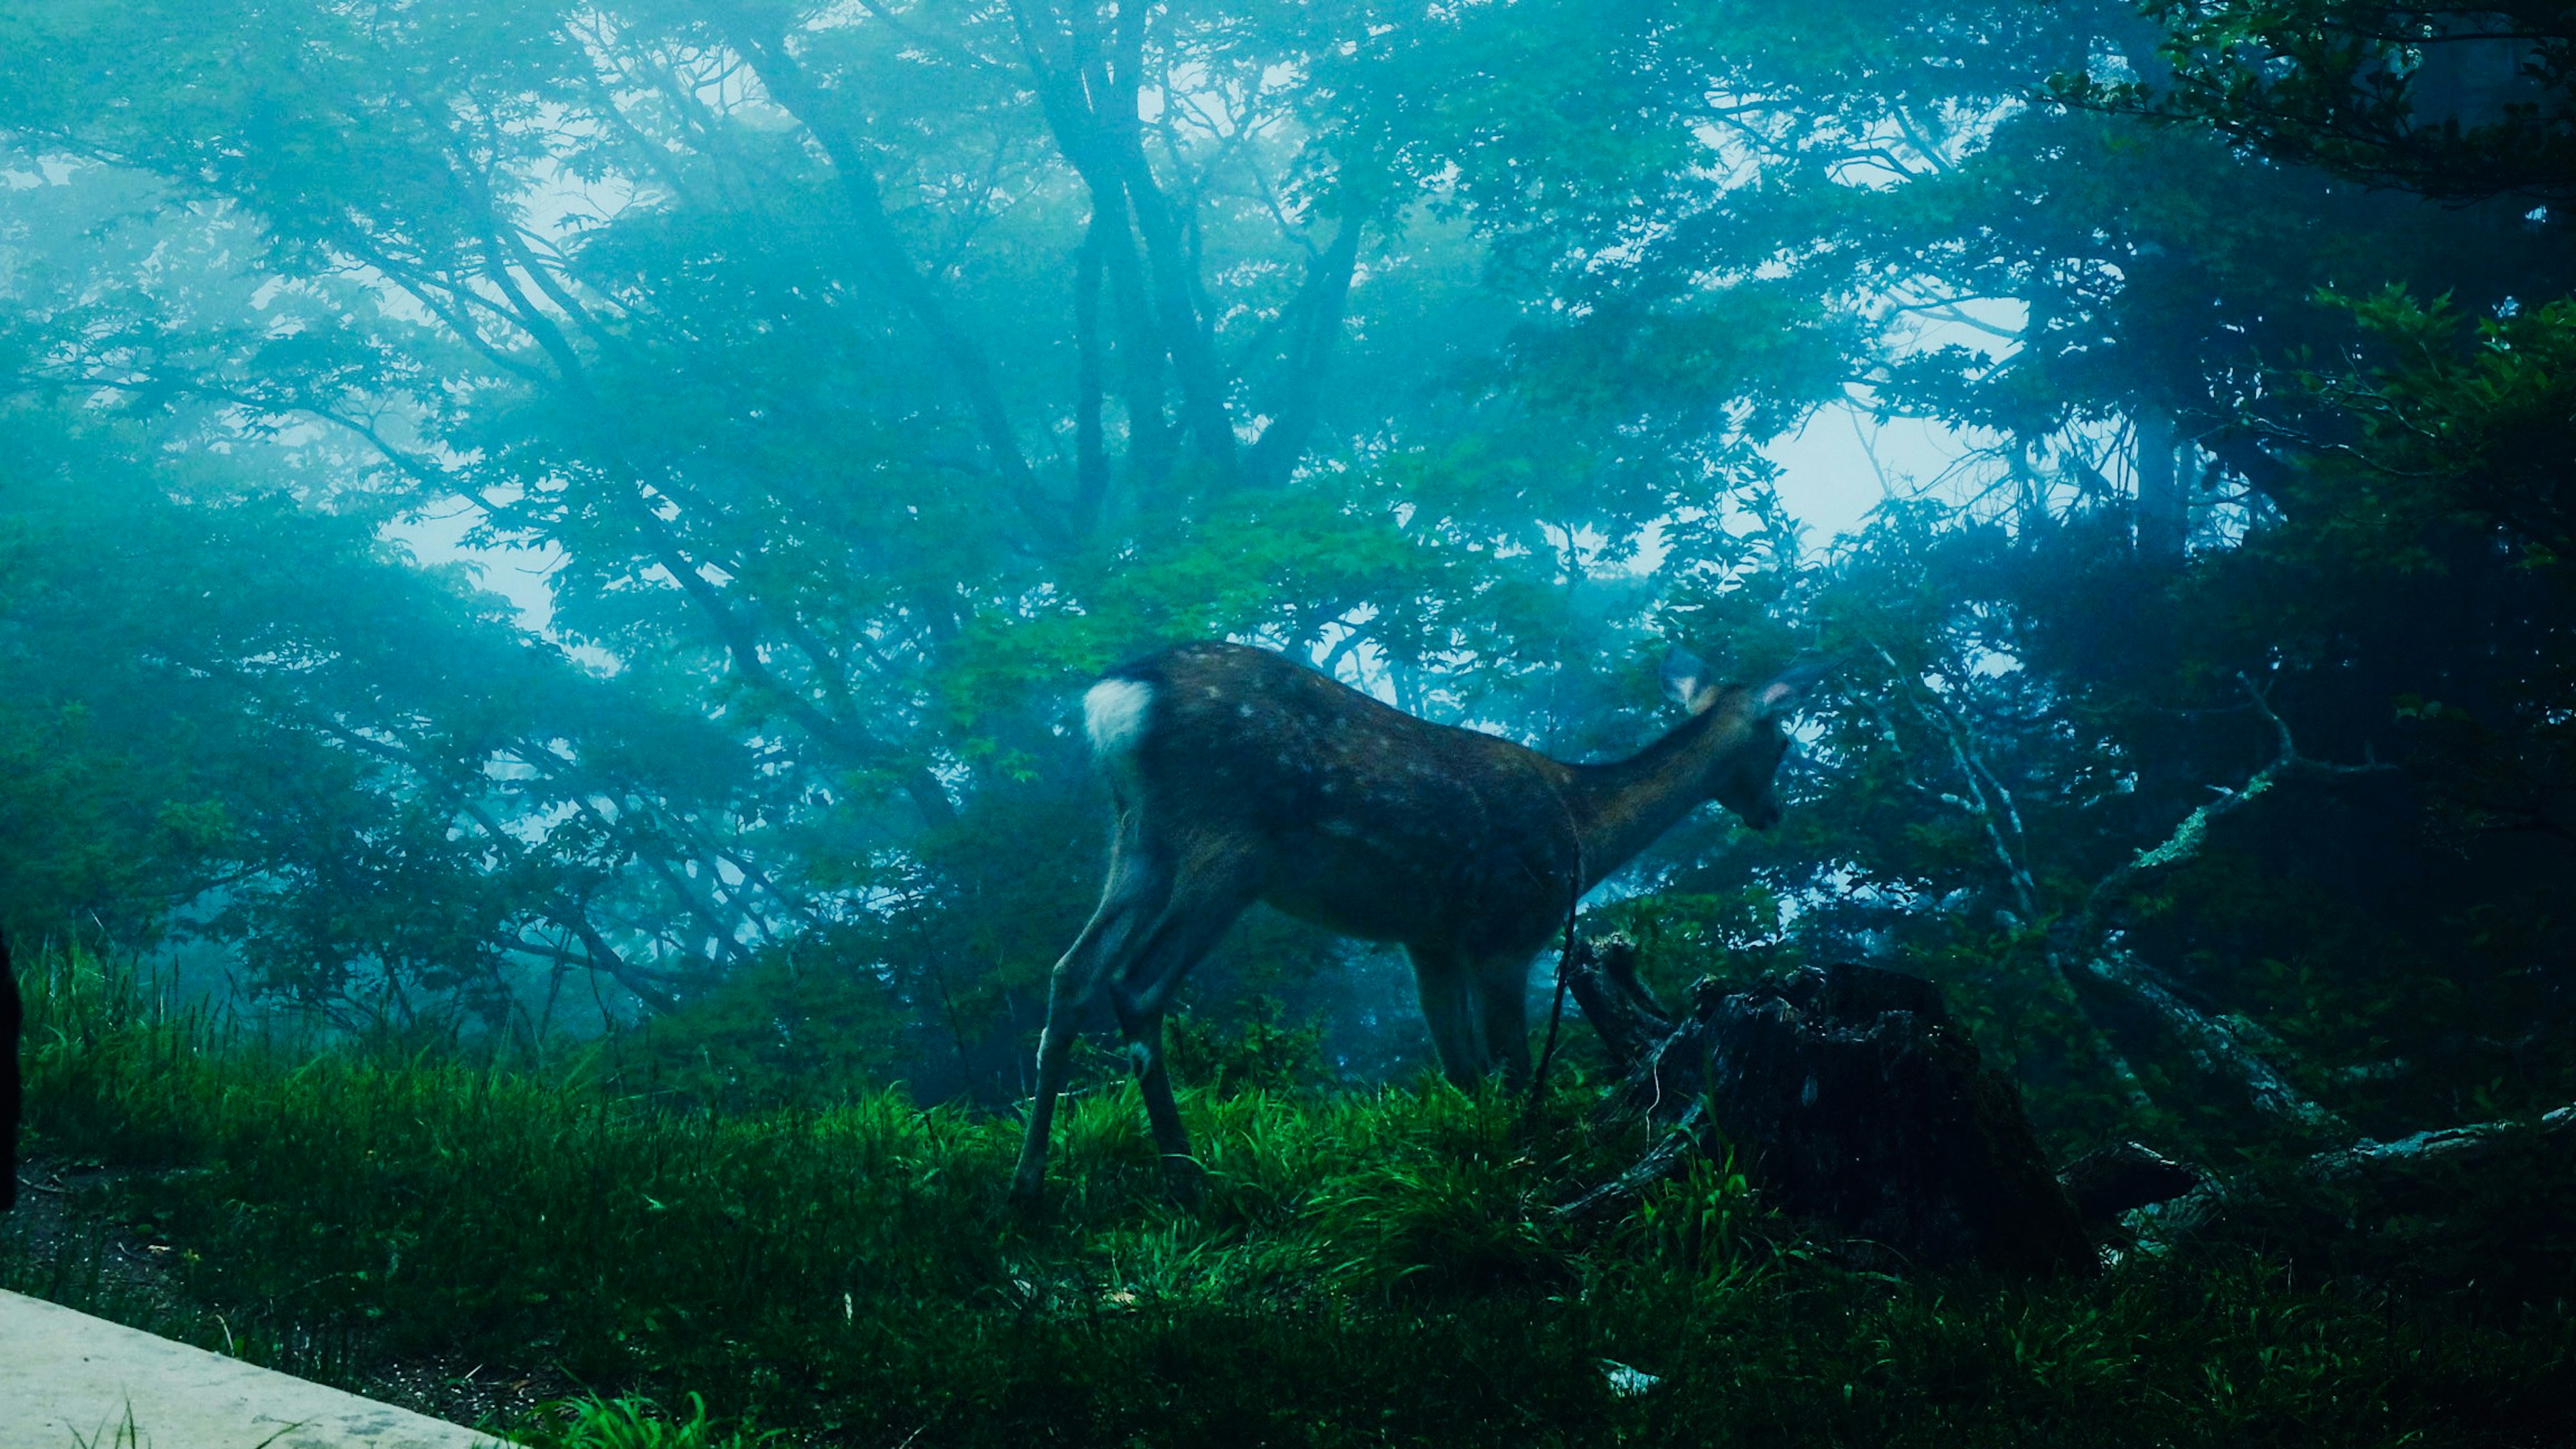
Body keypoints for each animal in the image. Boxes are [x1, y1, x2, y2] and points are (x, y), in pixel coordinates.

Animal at [1010, 639, 1834, 1196]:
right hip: (1226, 840)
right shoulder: (1510, 929)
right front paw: (1527, 1158)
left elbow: (1461, 1069)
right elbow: (1509, 1068)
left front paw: (1477, 1157)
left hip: (1137, 839)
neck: (1582, 831)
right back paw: (1186, 1174)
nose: (1773, 812)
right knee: (1136, 986)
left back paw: (1029, 1186)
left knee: (1070, 974)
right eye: (1785, 739)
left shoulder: (1429, 940)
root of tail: (1116, 700)